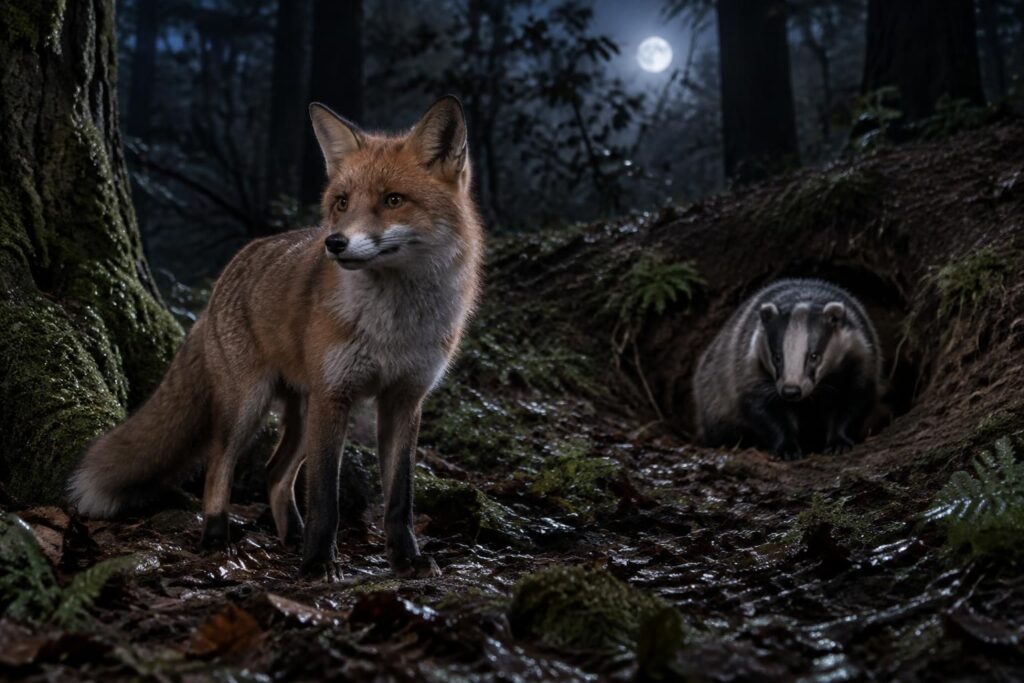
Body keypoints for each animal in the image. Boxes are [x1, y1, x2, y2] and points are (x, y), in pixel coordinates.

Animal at [67, 96, 483, 578]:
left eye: (393, 200)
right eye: (342, 202)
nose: (334, 243)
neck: (394, 325)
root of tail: (229, 273)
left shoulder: (403, 399)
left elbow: (400, 497)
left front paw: (406, 558)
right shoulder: (334, 395)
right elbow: (324, 496)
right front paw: (319, 563)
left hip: (302, 412)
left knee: (273, 472)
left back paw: (292, 536)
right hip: (250, 405)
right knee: (219, 465)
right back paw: (218, 537)